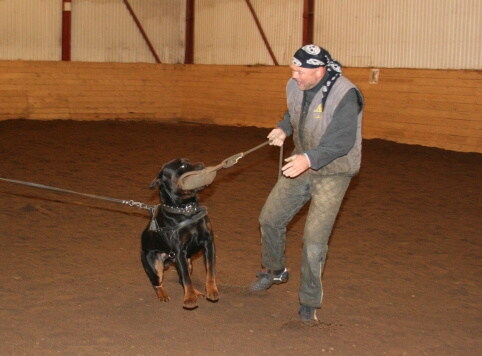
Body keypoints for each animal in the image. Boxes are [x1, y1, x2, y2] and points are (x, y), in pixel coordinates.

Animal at [140, 159, 219, 308]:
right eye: (183, 166)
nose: (202, 165)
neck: (186, 210)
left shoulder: (208, 242)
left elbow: (210, 270)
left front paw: (212, 290)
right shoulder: (179, 251)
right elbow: (187, 279)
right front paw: (189, 299)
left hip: (188, 262)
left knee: (181, 278)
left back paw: (196, 292)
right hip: (154, 264)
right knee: (157, 282)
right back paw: (163, 295)